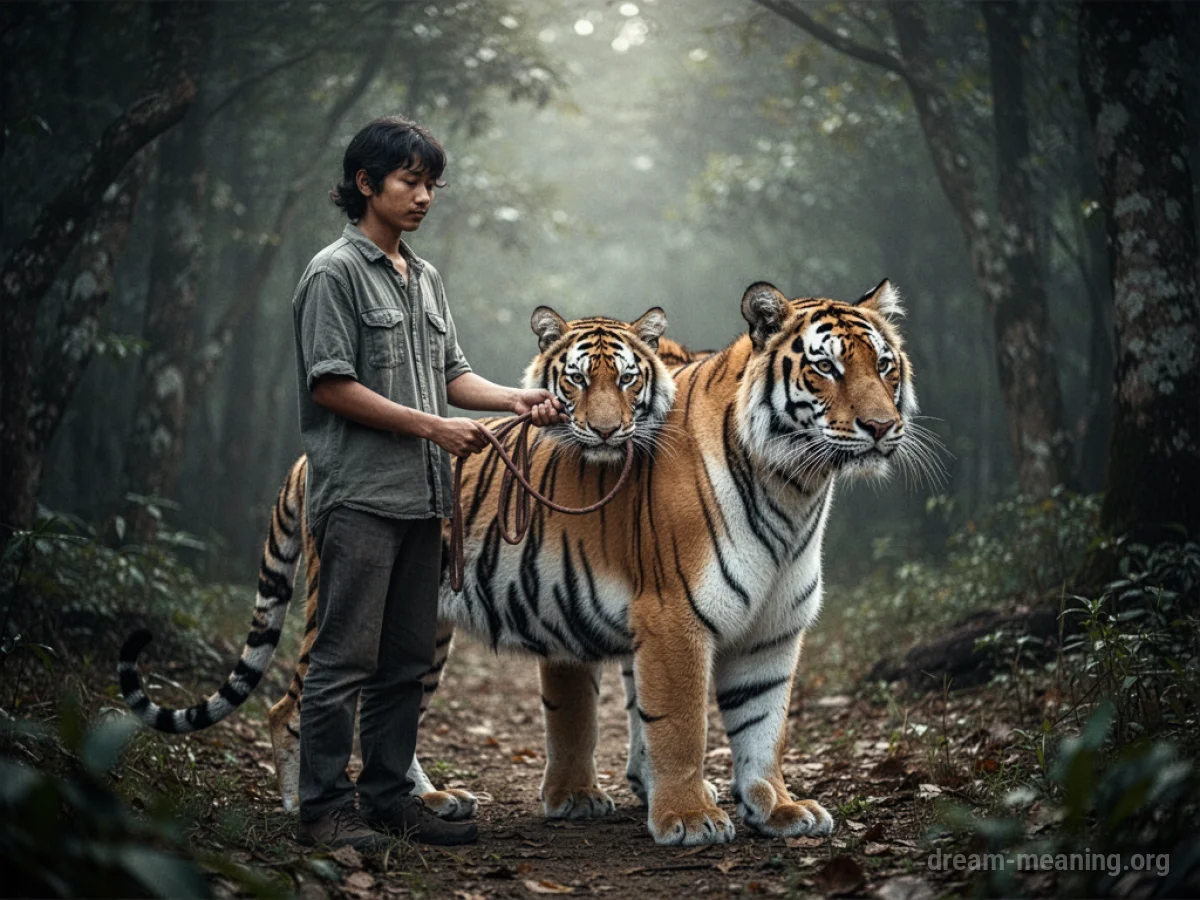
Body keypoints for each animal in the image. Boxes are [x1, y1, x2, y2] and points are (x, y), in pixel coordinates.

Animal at [121, 278, 922, 847]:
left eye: (883, 366)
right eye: (824, 369)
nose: (884, 427)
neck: (796, 488)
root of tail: (301, 462)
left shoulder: (773, 631)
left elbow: (763, 725)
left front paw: (776, 808)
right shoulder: (674, 619)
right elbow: (681, 725)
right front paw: (690, 818)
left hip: (422, 624)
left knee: (390, 704)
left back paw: (429, 803)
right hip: (345, 597)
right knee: (293, 704)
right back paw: (303, 809)